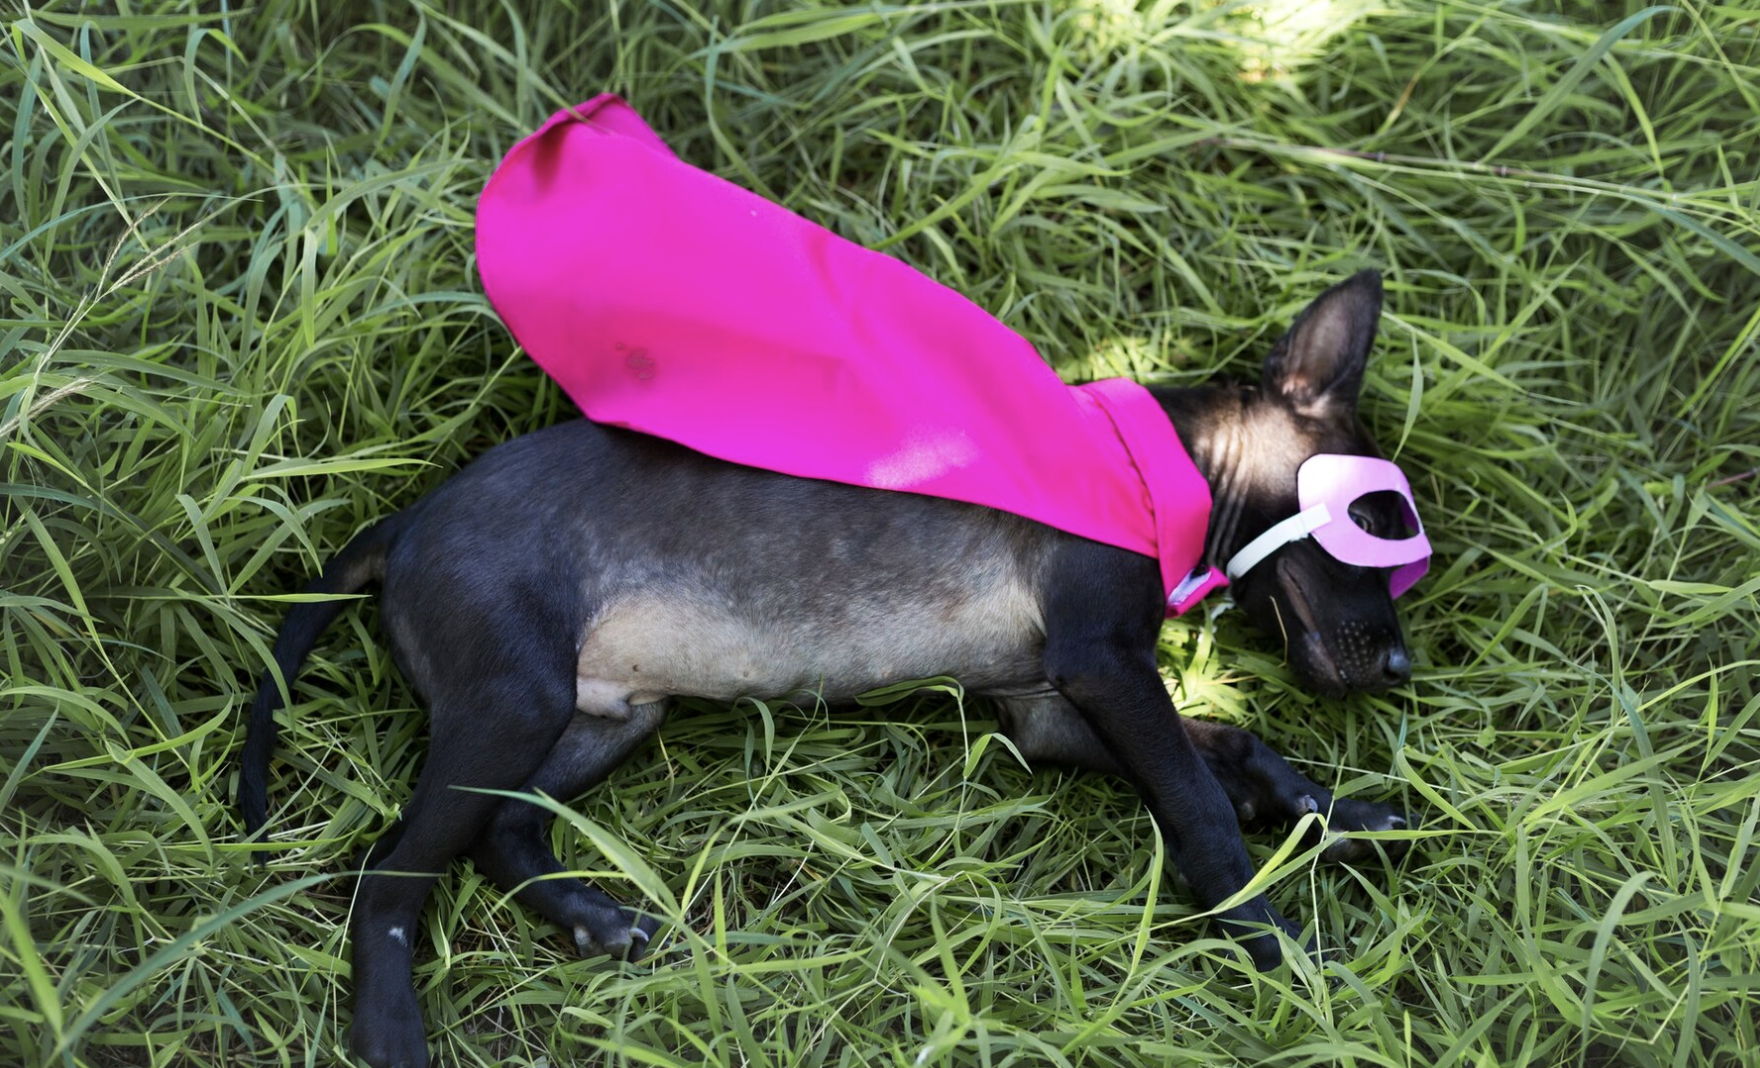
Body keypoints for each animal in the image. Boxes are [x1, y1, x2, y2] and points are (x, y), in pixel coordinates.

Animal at [238, 269, 1417, 1068]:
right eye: (1378, 520)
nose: (1402, 663)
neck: (1144, 458)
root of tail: (406, 523)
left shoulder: (1044, 704)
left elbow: (1236, 746)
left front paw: (1333, 814)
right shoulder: (1103, 666)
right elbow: (1199, 805)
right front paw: (1271, 940)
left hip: (603, 714)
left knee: (501, 833)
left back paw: (592, 918)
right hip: (511, 703)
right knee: (389, 875)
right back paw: (392, 1026)